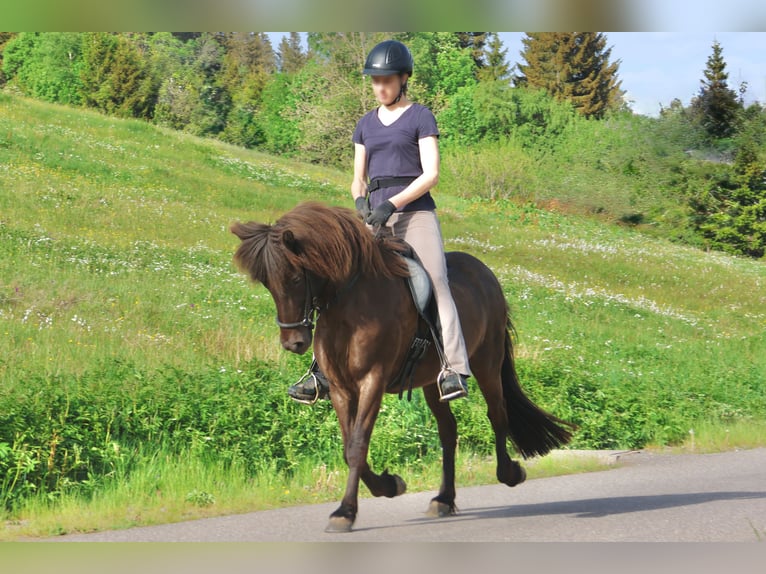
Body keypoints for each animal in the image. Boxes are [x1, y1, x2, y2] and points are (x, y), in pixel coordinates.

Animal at [231, 201, 574, 533]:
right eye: (266, 283)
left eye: (295, 278)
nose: (294, 343)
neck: (351, 304)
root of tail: (486, 274)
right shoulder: (341, 387)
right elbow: (348, 447)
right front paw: (389, 485)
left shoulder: (373, 380)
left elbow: (357, 445)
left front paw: (345, 512)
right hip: (431, 382)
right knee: (448, 430)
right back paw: (444, 499)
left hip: (486, 363)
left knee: (497, 413)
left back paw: (510, 472)